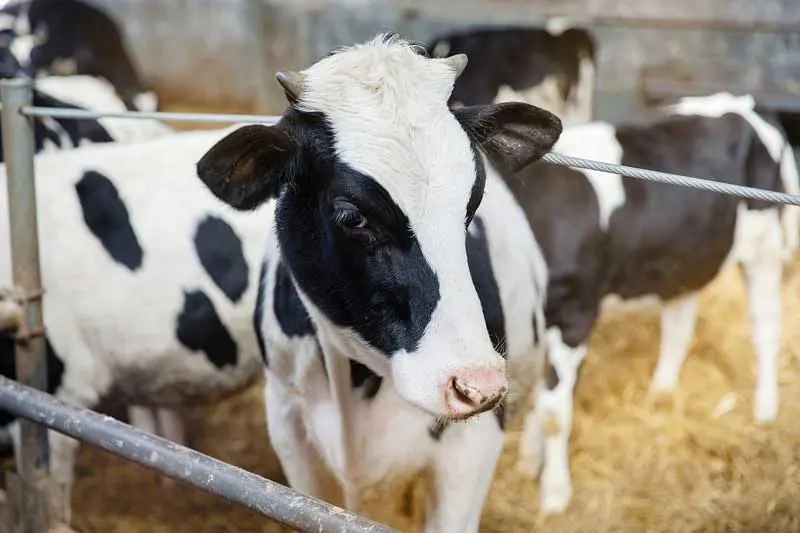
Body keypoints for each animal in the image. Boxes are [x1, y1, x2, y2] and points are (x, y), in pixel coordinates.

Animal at [504, 92, 799, 515]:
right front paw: (530, 460)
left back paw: (765, 409)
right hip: (689, 252)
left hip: (765, 247)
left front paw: (554, 496)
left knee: (765, 326)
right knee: (680, 320)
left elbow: (554, 411)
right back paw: (660, 395)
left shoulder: (577, 313)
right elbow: (542, 396)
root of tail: (744, 102)